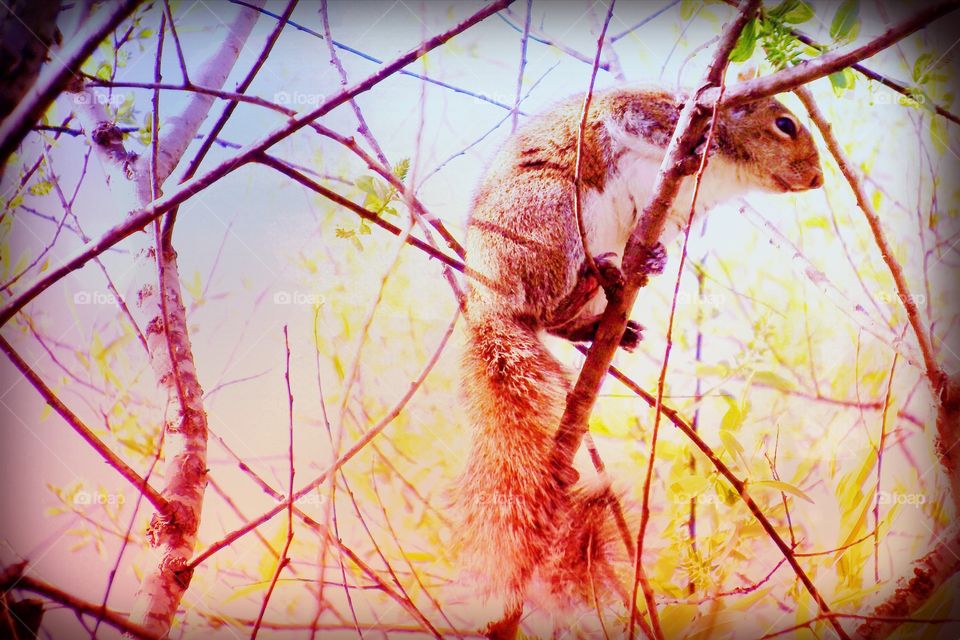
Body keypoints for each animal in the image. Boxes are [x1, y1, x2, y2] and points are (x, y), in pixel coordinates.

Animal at [455, 86, 822, 637]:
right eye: (785, 124)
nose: (818, 178)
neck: (730, 171)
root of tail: (486, 299)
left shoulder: (677, 214)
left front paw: (658, 260)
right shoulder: (649, 109)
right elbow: (637, 118)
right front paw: (699, 137)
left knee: (556, 323)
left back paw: (606, 318)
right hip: (550, 215)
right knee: (545, 307)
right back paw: (587, 287)